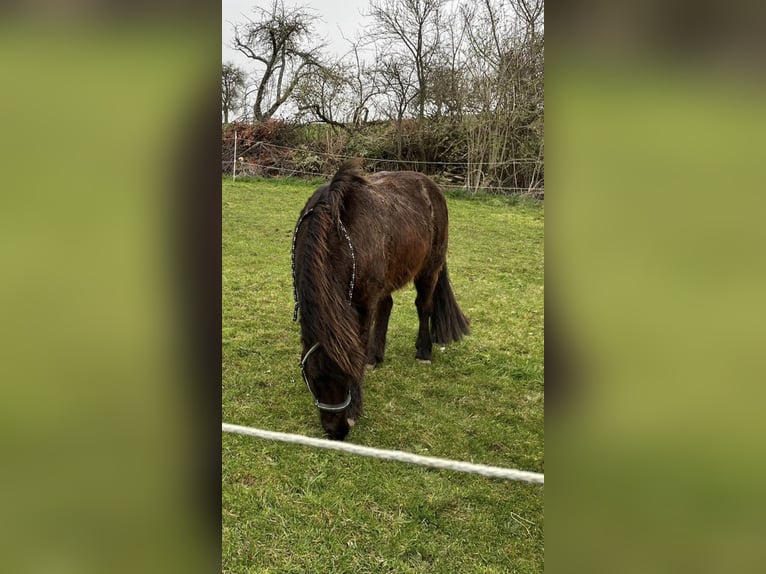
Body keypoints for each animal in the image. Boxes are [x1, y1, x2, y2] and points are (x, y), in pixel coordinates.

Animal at [291, 159, 470, 440]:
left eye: (347, 376)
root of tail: (431, 186)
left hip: (429, 268)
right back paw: (375, 357)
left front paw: (355, 408)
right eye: (313, 379)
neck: (338, 234)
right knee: (387, 306)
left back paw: (423, 351)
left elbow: (361, 342)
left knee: (424, 307)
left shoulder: (364, 303)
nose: (337, 431)